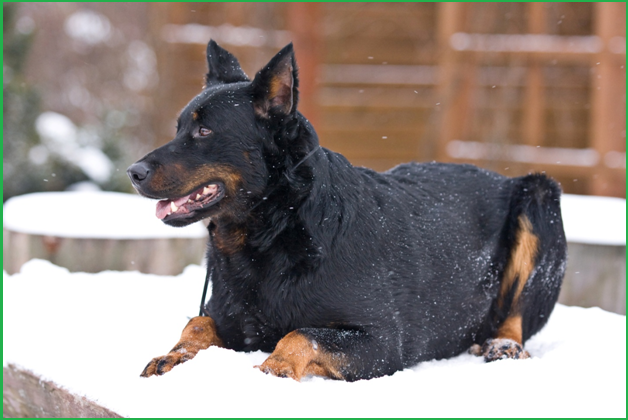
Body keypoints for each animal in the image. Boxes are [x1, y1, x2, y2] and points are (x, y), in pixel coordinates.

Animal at [127, 41, 568, 382]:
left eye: (204, 131)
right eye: (179, 128)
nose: (133, 172)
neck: (277, 228)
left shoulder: (383, 341)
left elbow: (301, 334)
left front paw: (276, 367)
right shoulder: (233, 320)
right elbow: (197, 322)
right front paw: (175, 354)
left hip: (539, 196)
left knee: (517, 318)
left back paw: (503, 344)